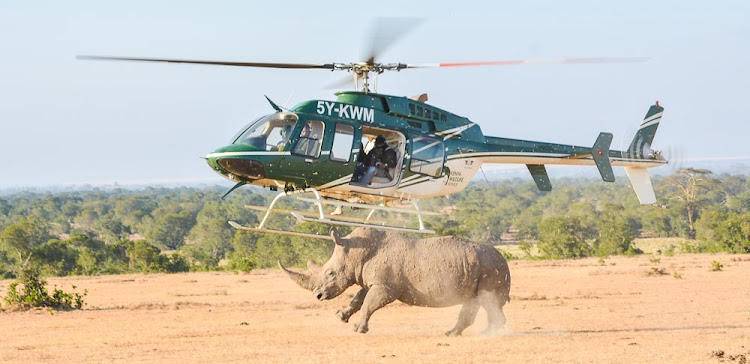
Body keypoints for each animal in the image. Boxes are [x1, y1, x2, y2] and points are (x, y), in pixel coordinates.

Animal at [280, 228, 516, 336]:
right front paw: (341, 317)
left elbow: (368, 304)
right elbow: (359, 298)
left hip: (491, 267)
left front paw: (358, 329)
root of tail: (504, 259)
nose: (317, 296)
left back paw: (486, 334)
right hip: (482, 266)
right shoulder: (373, 281)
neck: (357, 252)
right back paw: (453, 333)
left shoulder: (386, 287)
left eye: (330, 273)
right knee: (475, 302)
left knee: (487, 301)